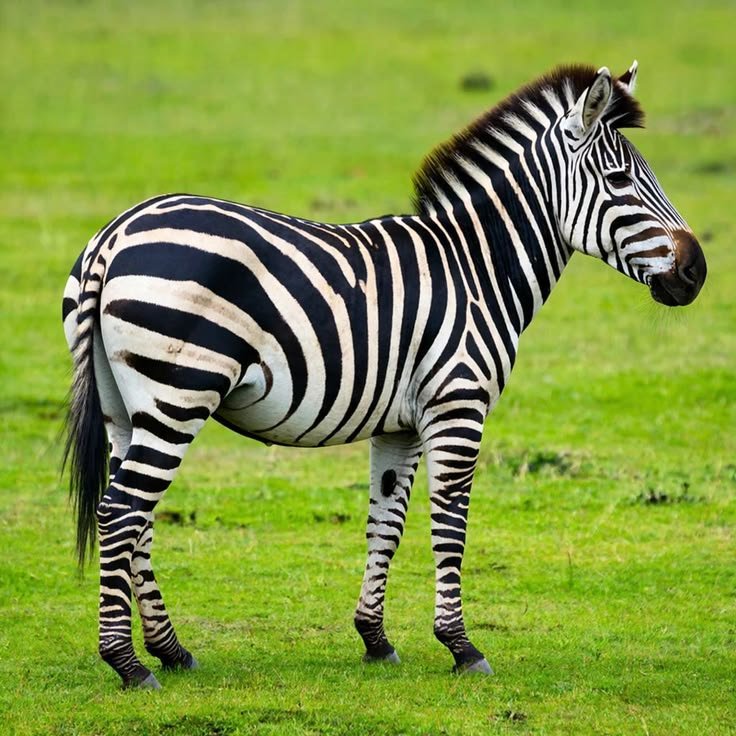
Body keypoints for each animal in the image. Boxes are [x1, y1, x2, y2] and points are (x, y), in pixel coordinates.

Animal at [62, 61, 706, 689]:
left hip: (125, 408)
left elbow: (386, 522)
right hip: (179, 391)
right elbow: (451, 520)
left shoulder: (400, 426)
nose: (696, 272)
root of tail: (115, 235)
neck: (476, 267)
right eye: (620, 181)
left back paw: (171, 650)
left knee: (137, 518)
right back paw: (128, 663)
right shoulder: (457, 405)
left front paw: (375, 639)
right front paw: (461, 646)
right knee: (121, 513)